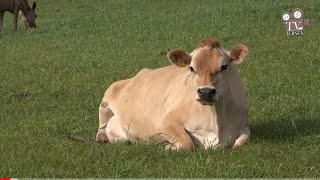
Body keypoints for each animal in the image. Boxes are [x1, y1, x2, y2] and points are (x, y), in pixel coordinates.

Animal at [96, 38, 251, 150]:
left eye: (224, 66)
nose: (206, 92)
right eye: (191, 68)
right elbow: (187, 144)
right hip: (107, 98)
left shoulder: (244, 125)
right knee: (102, 124)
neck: (215, 120)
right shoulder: (167, 123)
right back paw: (101, 138)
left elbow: (240, 142)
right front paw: (168, 147)